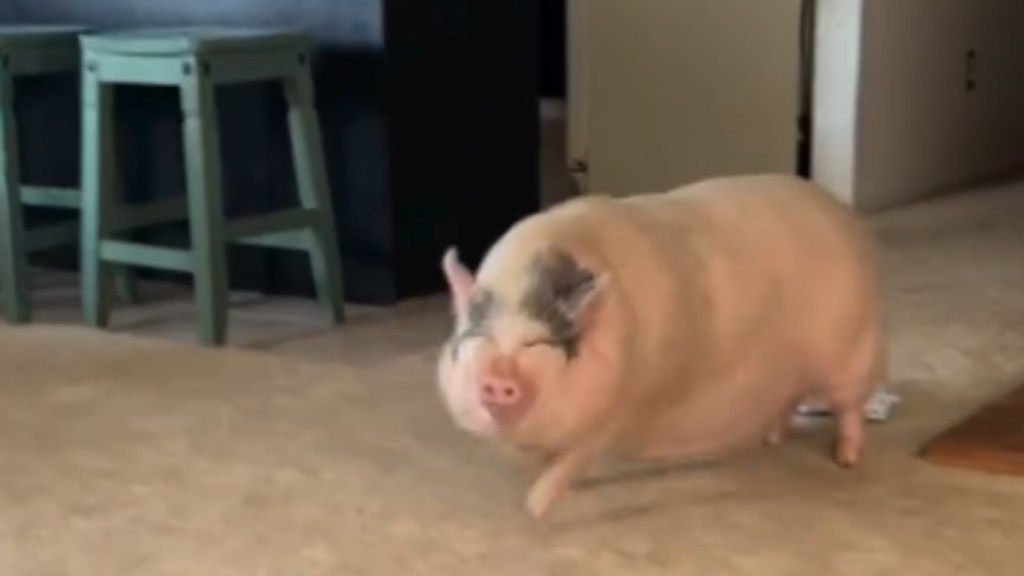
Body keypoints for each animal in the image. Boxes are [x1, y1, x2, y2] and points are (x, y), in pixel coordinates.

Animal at [432, 172, 888, 518]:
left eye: (537, 342)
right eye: (479, 336)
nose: (496, 379)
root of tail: (845, 217)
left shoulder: (621, 405)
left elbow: (572, 461)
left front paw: (533, 509)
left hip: (851, 352)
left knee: (850, 408)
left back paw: (847, 459)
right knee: (789, 400)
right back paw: (770, 440)